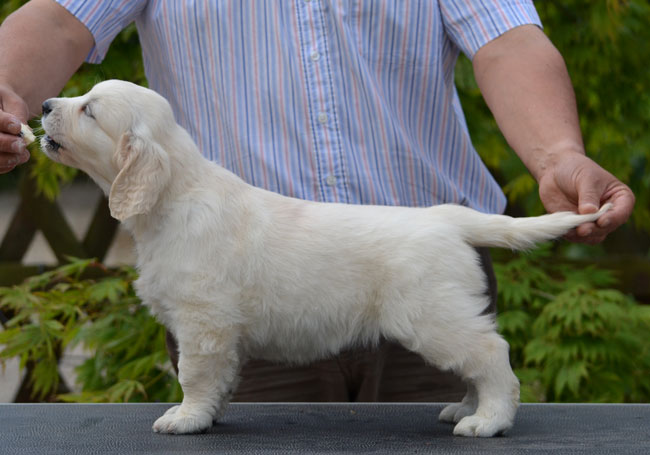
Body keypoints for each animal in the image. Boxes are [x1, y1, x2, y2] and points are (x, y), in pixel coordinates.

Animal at [40, 80, 608, 436]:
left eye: (90, 109)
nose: (44, 105)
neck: (175, 197)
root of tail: (448, 218)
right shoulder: (221, 332)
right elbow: (222, 380)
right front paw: (211, 414)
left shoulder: (203, 323)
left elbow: (195, 376)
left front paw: (187, 418)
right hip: (450, 315)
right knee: (476, 364)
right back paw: (465, 408)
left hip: (432, 316)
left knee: (492, 357)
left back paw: (488, 421)